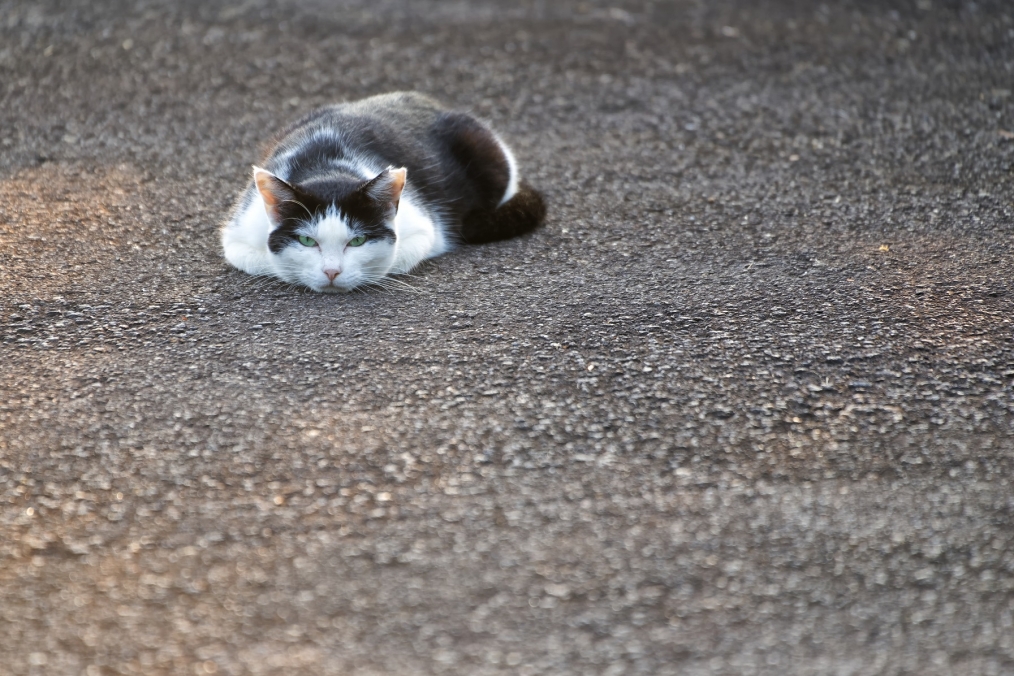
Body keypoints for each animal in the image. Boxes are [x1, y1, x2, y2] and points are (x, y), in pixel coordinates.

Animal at [223, 90, 547, 291]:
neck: (325, 166)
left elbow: (395, 258)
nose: (331, 272)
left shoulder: (424, 230)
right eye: (306, 240)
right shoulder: (237, 233)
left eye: (357, 241)